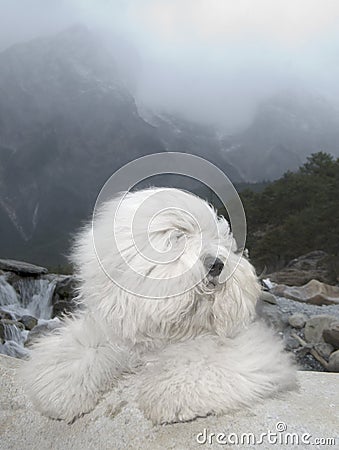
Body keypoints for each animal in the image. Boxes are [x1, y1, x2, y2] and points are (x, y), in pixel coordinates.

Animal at [21, 187, 298, 426]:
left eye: (218, 239)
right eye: (178, 238)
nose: (217, 265)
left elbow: (200, 360)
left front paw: (168, 396)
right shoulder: (112, 330)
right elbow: (80, 350)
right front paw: (59, 394)